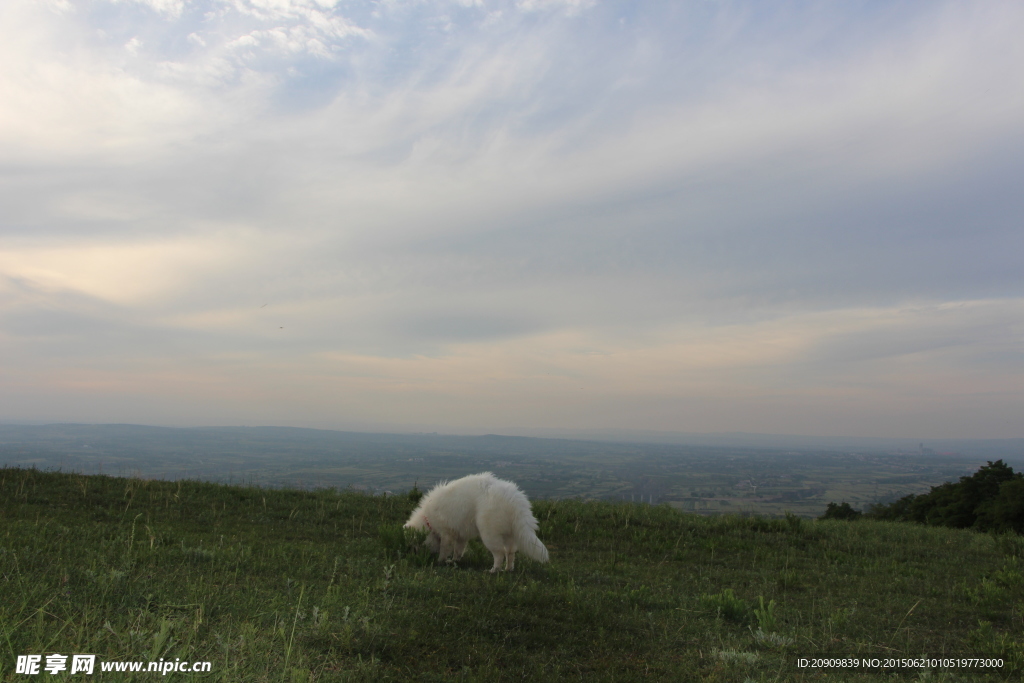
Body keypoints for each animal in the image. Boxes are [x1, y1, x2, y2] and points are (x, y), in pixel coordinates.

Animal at [405, 473, 552, 569]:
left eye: (414, 544)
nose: (414, 554)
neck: (427, 519)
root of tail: (515, 501)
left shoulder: (447, 533)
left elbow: (444, 549)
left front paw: (441, 561)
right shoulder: (461, 535)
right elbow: (458, 550)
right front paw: (455, 560)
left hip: (489, 533)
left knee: (499, 553)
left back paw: (494, 570)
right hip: (510, 534)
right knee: (510, 553)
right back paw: (508, 569)